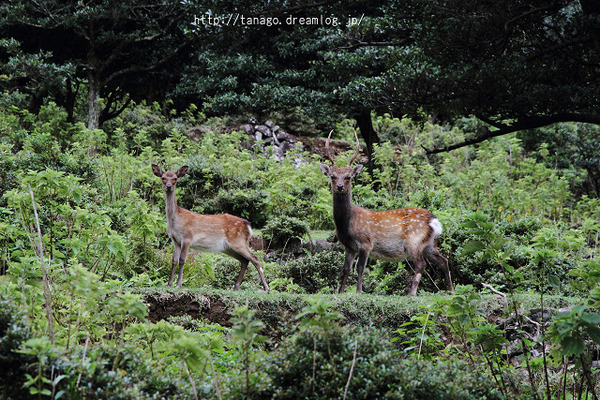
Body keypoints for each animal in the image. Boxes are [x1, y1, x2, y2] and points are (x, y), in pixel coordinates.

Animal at [152, 164, 270, 292]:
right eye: (163, 177)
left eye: (175, 178)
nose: (168, 186)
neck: (176, 221)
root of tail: (247, 225)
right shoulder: (175, 240)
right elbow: (174, 260)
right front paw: (169, 284)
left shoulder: (187, 238)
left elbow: (182, 260)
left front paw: (178, 284)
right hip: (227, 247)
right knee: (244, 260)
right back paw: (236, 286)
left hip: (238, 241)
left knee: (255, 258)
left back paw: (266, 288)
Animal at [318, 130, 454, 294]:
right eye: (332, 176)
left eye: (348, 177)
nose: (339, 186)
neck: (347, 223)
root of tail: (434, 221)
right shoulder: (349, 246)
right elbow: (345, 269)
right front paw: (340, 292)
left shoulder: (365, 242)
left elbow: (360, 268)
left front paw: (359, 291)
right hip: (430, 244)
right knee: (444, 261)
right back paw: (451, 291)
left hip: (414, 239)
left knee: (421, 264)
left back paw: (411, 293)